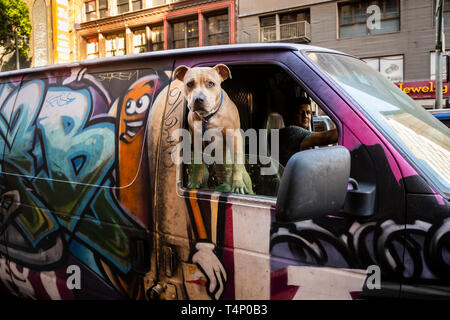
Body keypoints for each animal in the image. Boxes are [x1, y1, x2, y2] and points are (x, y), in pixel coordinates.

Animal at [173, 63, 253, 194]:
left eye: (211, 83)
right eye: (189, 84)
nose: (198, 99)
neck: (207, 117)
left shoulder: (234, 136)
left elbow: (236, 163)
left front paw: (238, 185)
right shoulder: (196, 138)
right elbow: (198, 163)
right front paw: (194, 181)